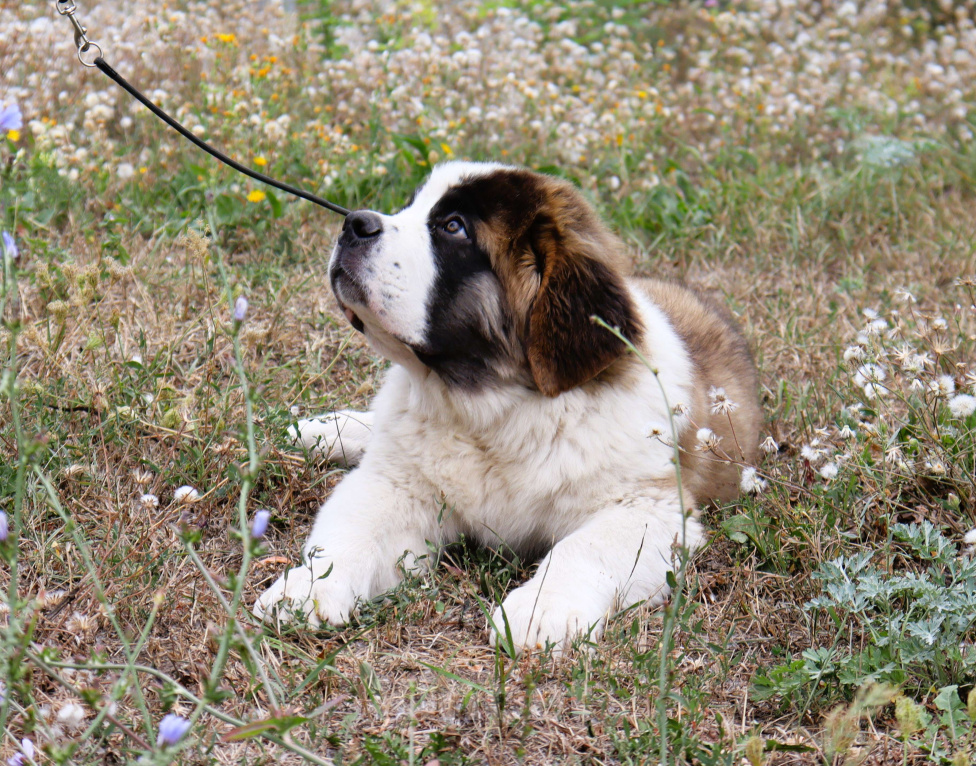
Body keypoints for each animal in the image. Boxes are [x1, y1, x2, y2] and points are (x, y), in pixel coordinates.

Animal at [254, 162, 764, 656]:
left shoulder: (650, 509)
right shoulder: (398, 484)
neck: (491, 410)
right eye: (410, 206)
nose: (353, 223)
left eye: (453, 227)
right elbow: (352, 529)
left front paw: (539, 610)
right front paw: (307, 590)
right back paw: (325, 431)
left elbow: (581, 548)